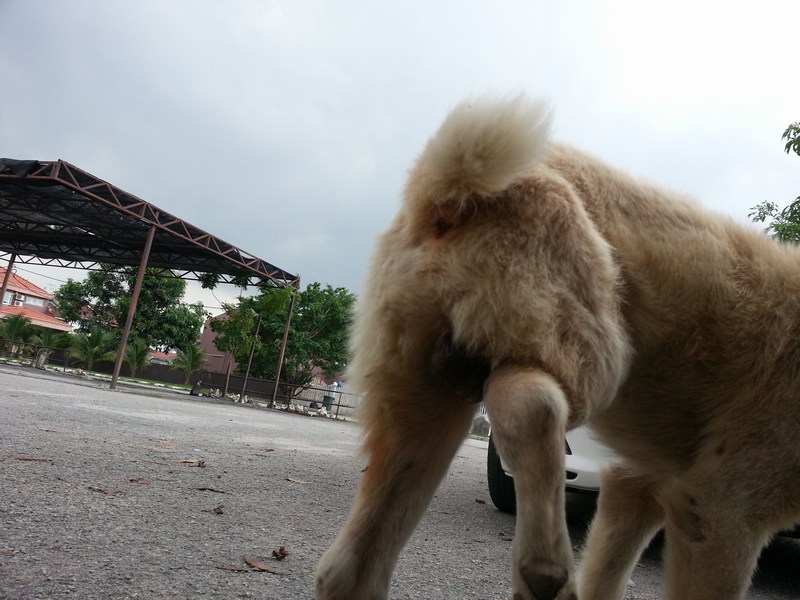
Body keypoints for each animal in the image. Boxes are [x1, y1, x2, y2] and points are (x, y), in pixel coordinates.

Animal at [315, 95, 800, 599]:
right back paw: (545, 572)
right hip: (589, 352)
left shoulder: (636, 484)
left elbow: (607, 571)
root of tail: (446, 191)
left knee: (349, 567)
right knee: (530, 404)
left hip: (420, 395)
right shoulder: (721, 509)